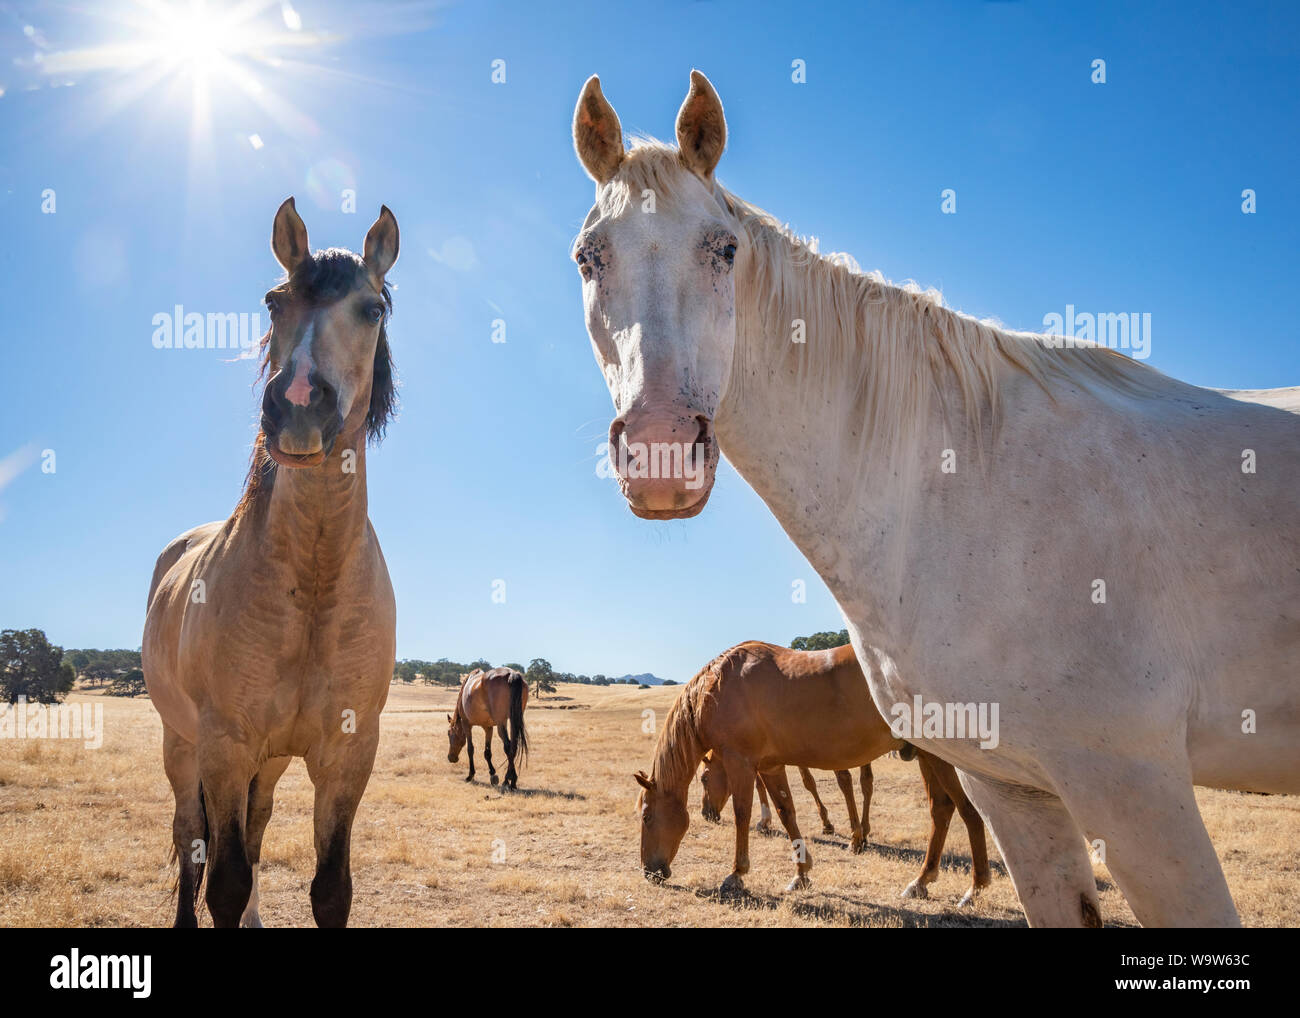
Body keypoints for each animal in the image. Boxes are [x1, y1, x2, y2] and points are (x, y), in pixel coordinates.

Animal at [142, 195, 400, 925]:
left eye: (373, 309)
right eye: (273, 301)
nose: (298, 405)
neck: (312, 581)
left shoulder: (346, 755)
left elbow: (330, 888)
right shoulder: (225, 745)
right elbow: (222, 879)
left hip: (270, 761)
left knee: (252, 833)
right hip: (183, 747)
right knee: (191, 836)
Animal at [634, 644, 987, 899]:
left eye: (647, 817)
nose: (649, 872)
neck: (717, 687)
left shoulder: (740, 761)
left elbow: (742, 813)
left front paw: (736, 874)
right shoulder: (771, 765)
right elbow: (786, 812)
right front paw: (801, 873)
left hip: (940, 758)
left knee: (968, 811)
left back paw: (975, 887)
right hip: (927, 757)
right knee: (941, 809)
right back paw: (921, 880)